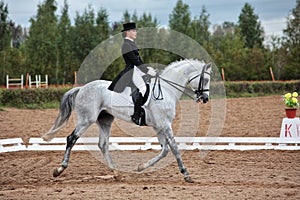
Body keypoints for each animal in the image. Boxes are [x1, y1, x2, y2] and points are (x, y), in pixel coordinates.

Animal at [42, 58, 212, 183]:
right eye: (206, 79)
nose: (205, 98)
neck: (166, 90)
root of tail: (81, 88)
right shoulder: (165, 125)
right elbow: (175, 148)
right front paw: (186, 174)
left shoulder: (159, 126)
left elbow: (165, 150)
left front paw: (141, 167)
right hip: (86, 119)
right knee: (71, 138)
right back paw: (59, 170)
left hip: (105, 120)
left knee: (102, 144)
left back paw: (116, 173)